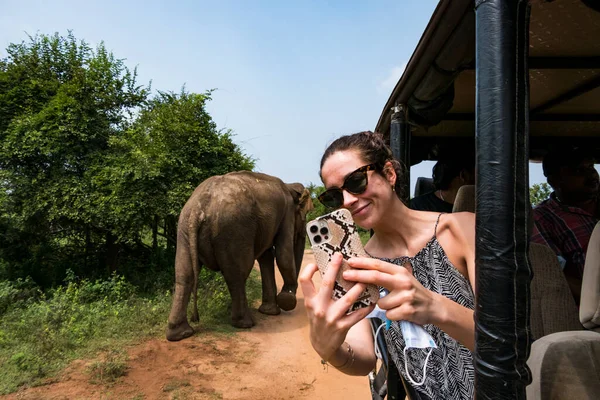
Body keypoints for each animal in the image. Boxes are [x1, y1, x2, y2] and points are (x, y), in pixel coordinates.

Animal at [165, 170, 314, 342]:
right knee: (237, 274)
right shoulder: (287, 214)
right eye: (305, 214)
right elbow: (283, 254)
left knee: (184, 275)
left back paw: (181, 334)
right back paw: (245, 323)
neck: (290, 186)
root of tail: (199, 207)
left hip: (184, 227)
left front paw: (270, 311)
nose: (289, 294)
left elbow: (266, 256)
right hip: (233, 230)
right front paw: (286, 301)